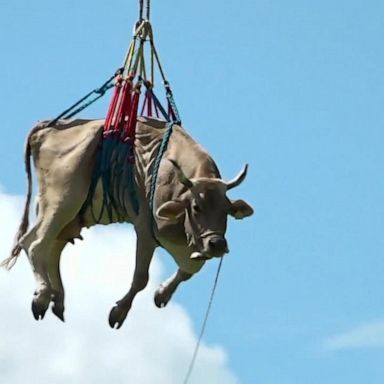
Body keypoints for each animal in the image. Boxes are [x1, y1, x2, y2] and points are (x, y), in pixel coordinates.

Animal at [3, 117, 255, 328]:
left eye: (227, 210)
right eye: (196, 207)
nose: (217, 244)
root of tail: (47, 127)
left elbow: (189, 269)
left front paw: (162, 293)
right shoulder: (145, 228)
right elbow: (141, 277)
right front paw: (119, 311)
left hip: (73, 213)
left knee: (53, 247)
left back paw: (57, 299)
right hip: (62, 198)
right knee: (34, 242)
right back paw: (42, 296)